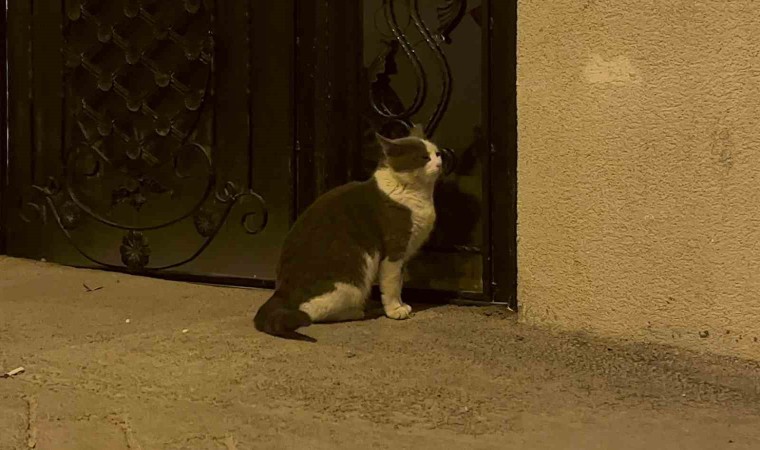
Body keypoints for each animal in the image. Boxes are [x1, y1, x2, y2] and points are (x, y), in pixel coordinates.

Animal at [255, 123, 446, 342]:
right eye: (424, 157)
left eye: (437, 153)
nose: (440, 162)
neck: (418, 195)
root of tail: (281, 291)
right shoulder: (394, 249)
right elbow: (391, 284)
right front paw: (395, 310)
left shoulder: (405, 254)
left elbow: (399, 282)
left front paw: (401, 304)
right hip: (351, 283)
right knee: (311, 312)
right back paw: (359, 311)